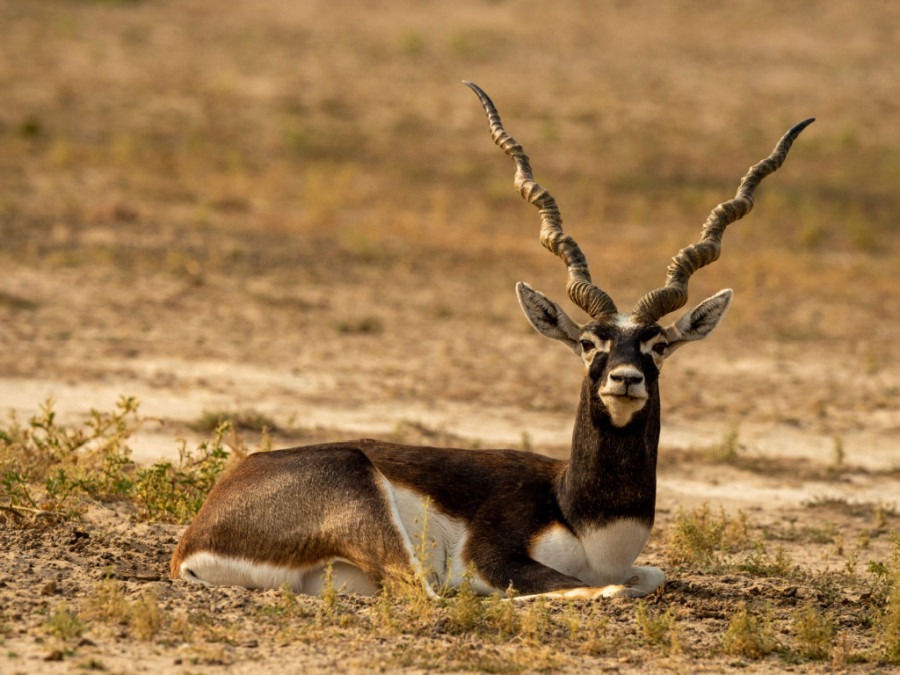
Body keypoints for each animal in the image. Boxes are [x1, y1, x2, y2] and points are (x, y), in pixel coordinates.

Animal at [172, 82, 812, 600]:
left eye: (658, 346)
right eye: (589, 342)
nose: (624, 379)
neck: (581, 513)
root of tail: (197, 534)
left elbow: (649, 575)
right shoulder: (491, 558)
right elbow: (598, 587)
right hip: (373, 510)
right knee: (435, 593)